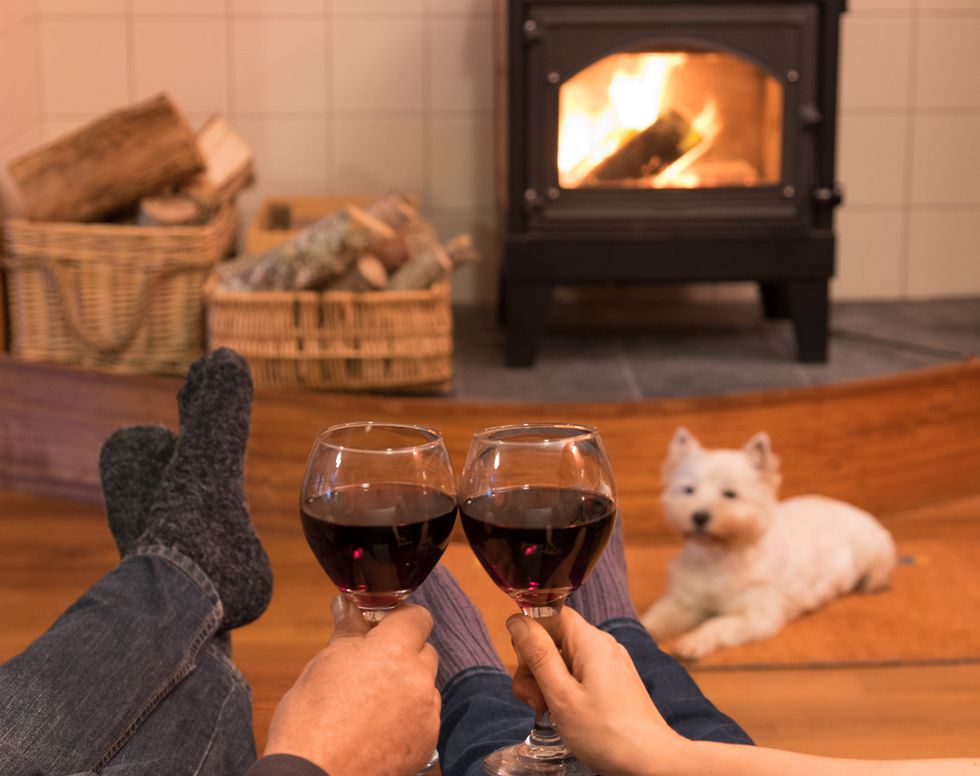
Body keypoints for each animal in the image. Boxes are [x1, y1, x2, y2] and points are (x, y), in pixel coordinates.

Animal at [644, 428, 896, 656]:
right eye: (689, 490)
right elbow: (659, 617)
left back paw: (875, 581)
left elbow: (718, 623)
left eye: (730, 493)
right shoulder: (684, 600)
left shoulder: (756, 616)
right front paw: (647, 627)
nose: (699, 516)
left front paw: (693, 640)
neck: (717, 556)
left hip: (873, 547)